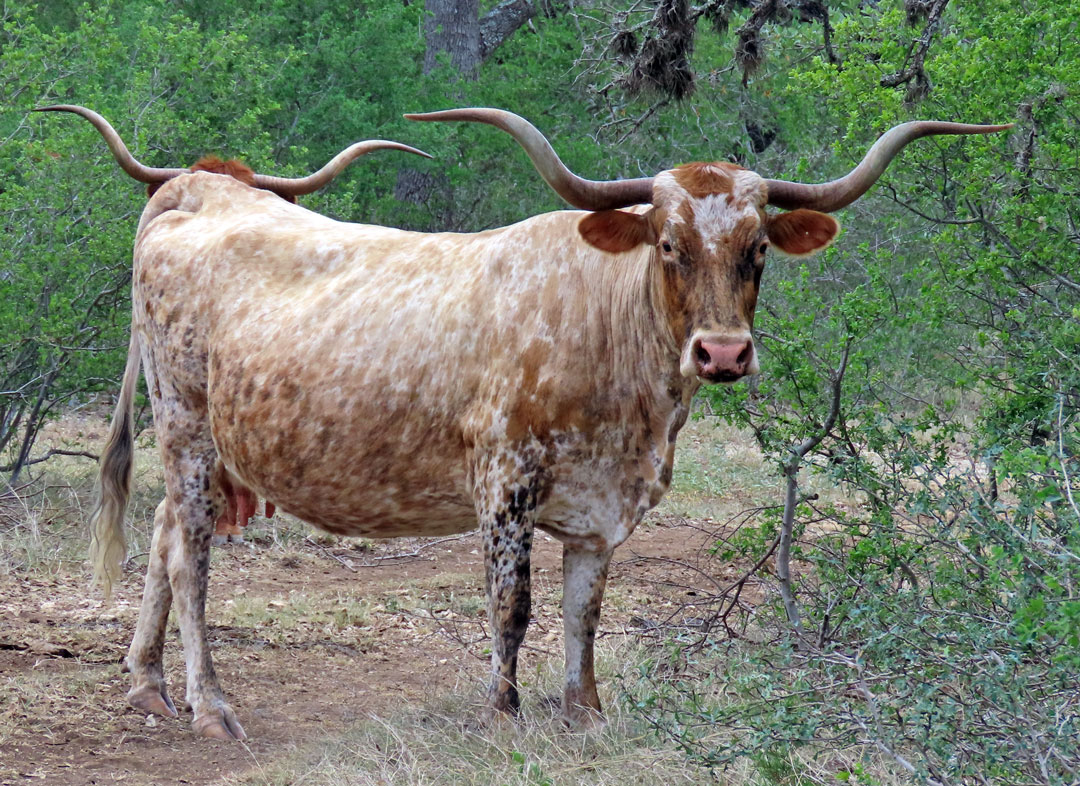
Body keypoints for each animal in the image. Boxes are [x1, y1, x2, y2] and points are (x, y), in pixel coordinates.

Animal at [38, 103, 1006, 738]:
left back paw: (148, 686)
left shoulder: (602, 507)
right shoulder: (506, 482)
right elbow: (515, 605)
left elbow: (584, 612)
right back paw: (210, 704)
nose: (724, 354)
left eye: (759, 249)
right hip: (187, 430)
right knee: (190, 558)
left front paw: (584, 713)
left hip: (211, 450)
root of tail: (191, 197)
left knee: (163, 537)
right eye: (668, 245)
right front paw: (502, 710)